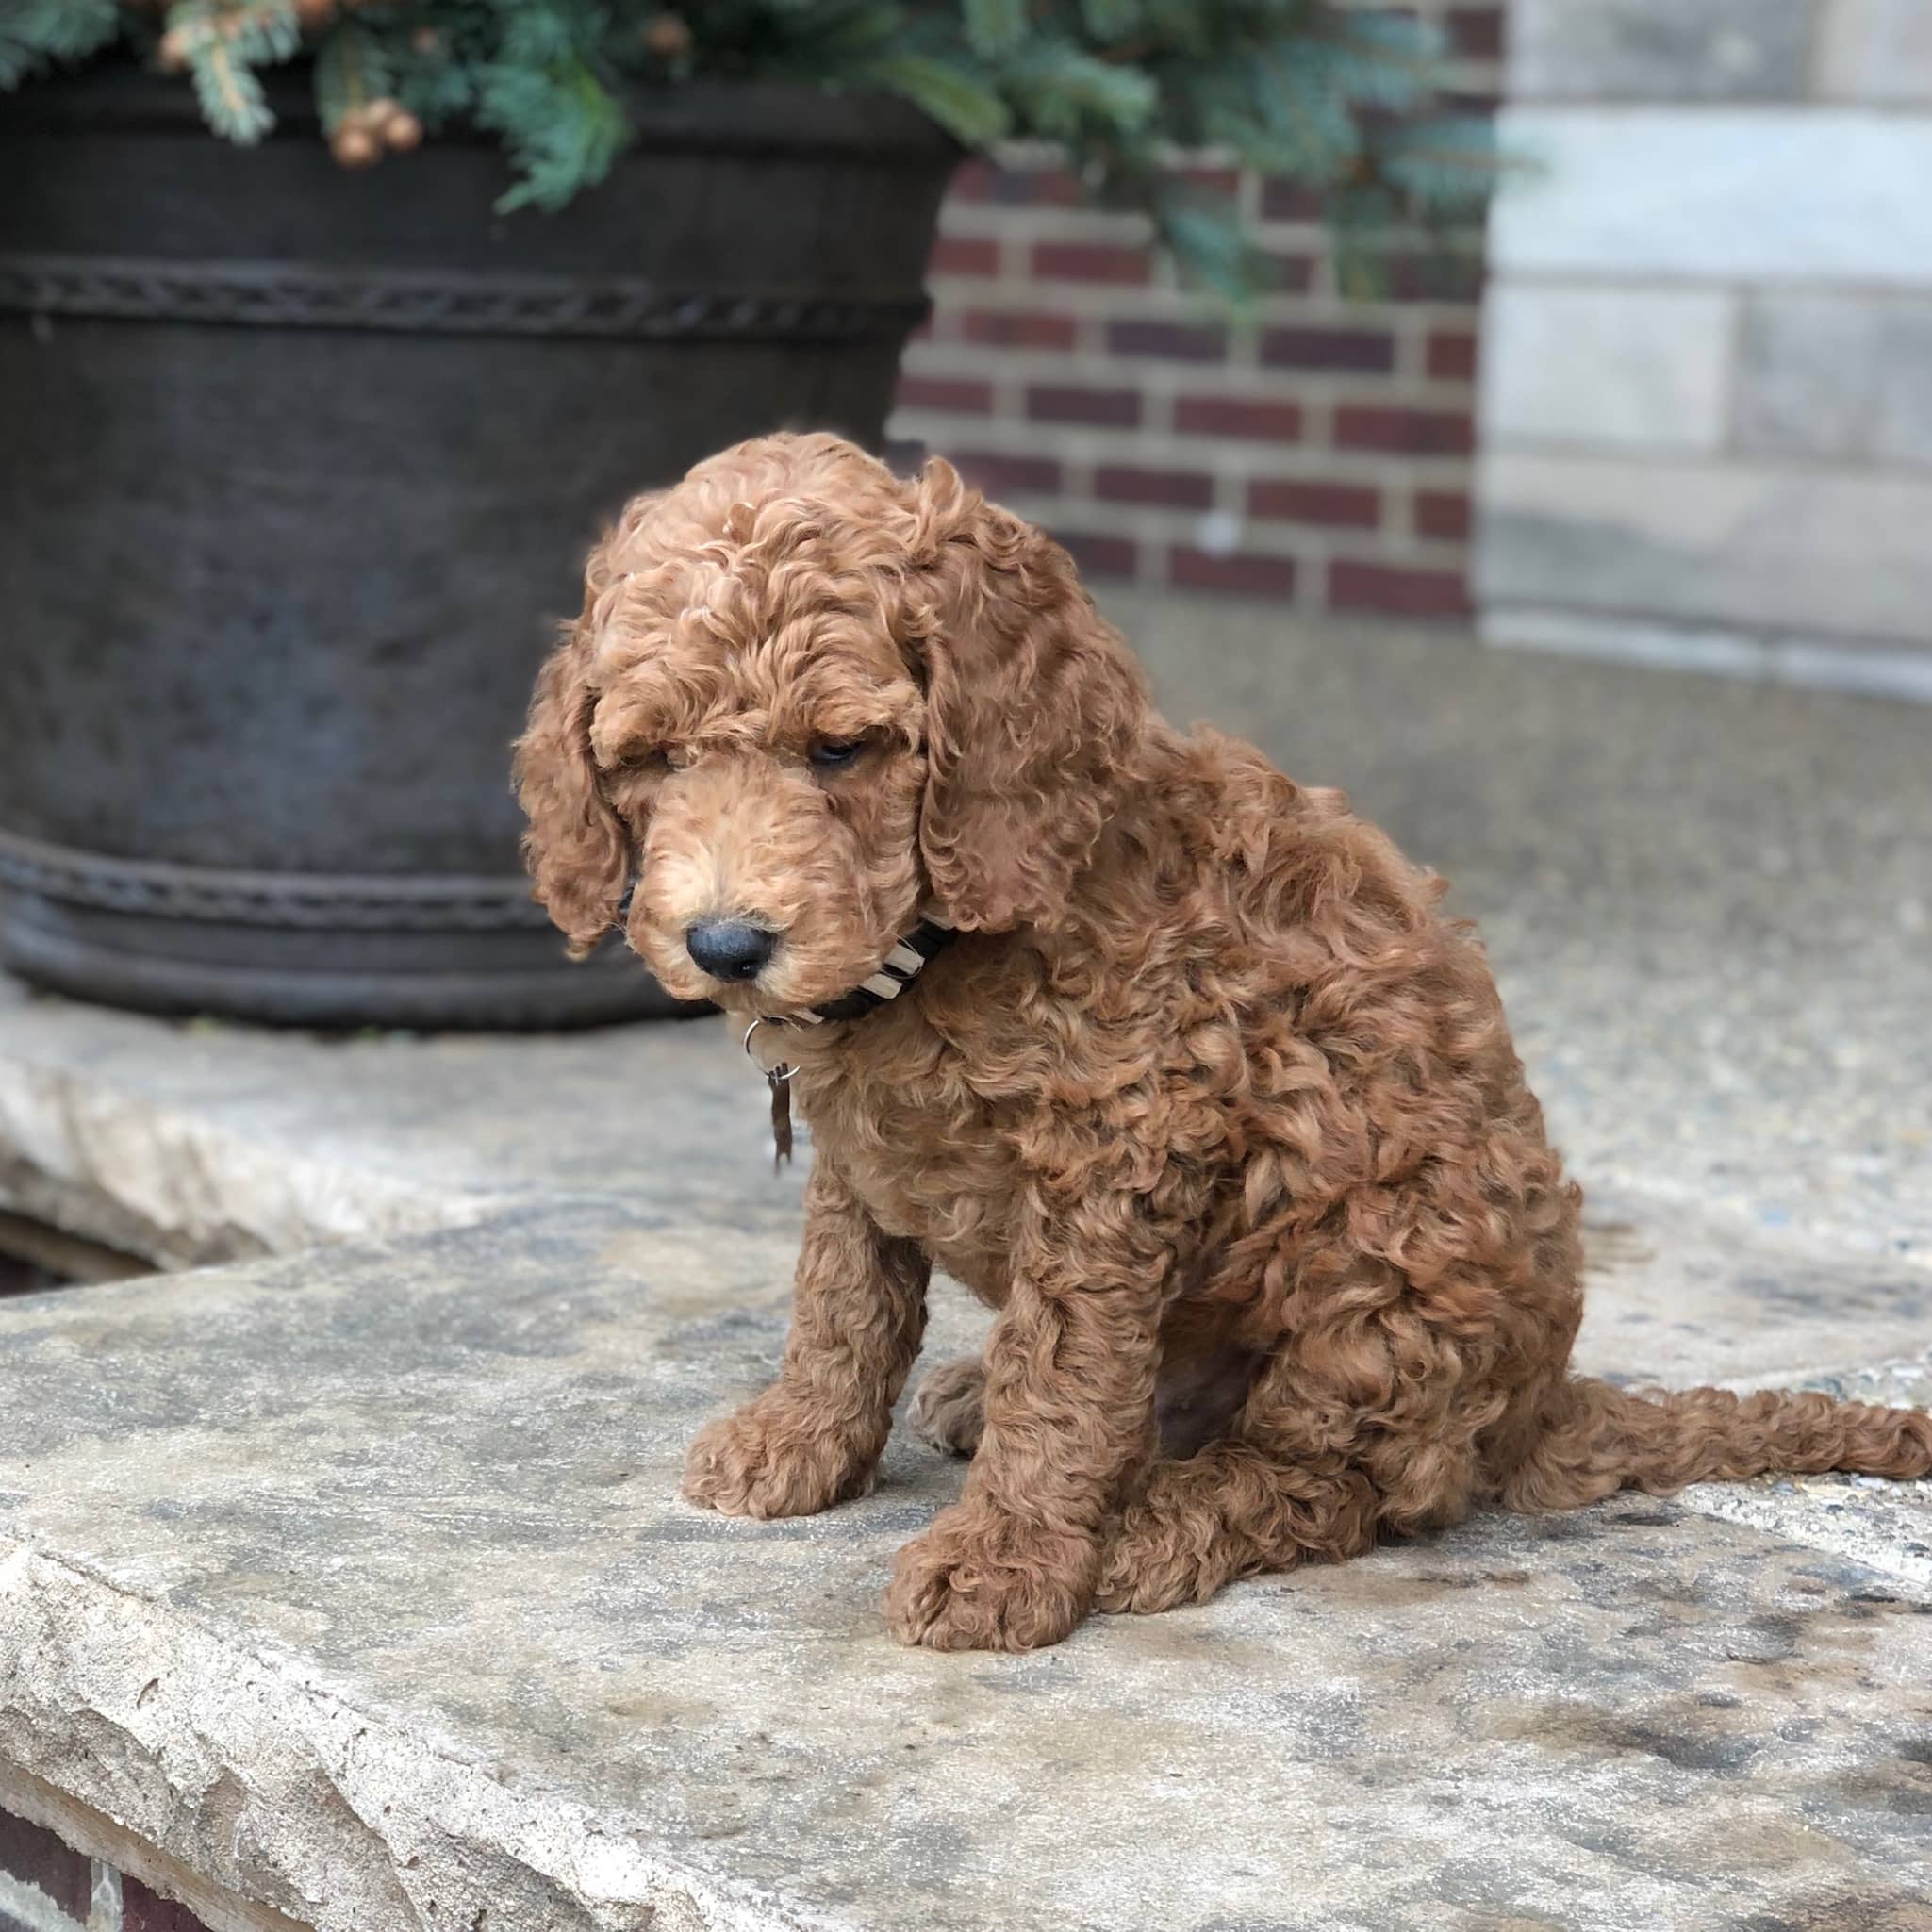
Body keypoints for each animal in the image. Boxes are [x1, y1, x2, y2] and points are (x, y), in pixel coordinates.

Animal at [514, 430, 1932, 1653]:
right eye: (650, 758)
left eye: (841, 749)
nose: (723, 944)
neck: (939, 951)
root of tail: (1543, 1405)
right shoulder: (864, 1154)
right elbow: (842, 1299)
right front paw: (802, 1440)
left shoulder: (1117, 1151)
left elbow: (1063, 1378)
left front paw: (1007, 1558)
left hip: (1386, 1269)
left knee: (1338, 1483)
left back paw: (1162, 1521)